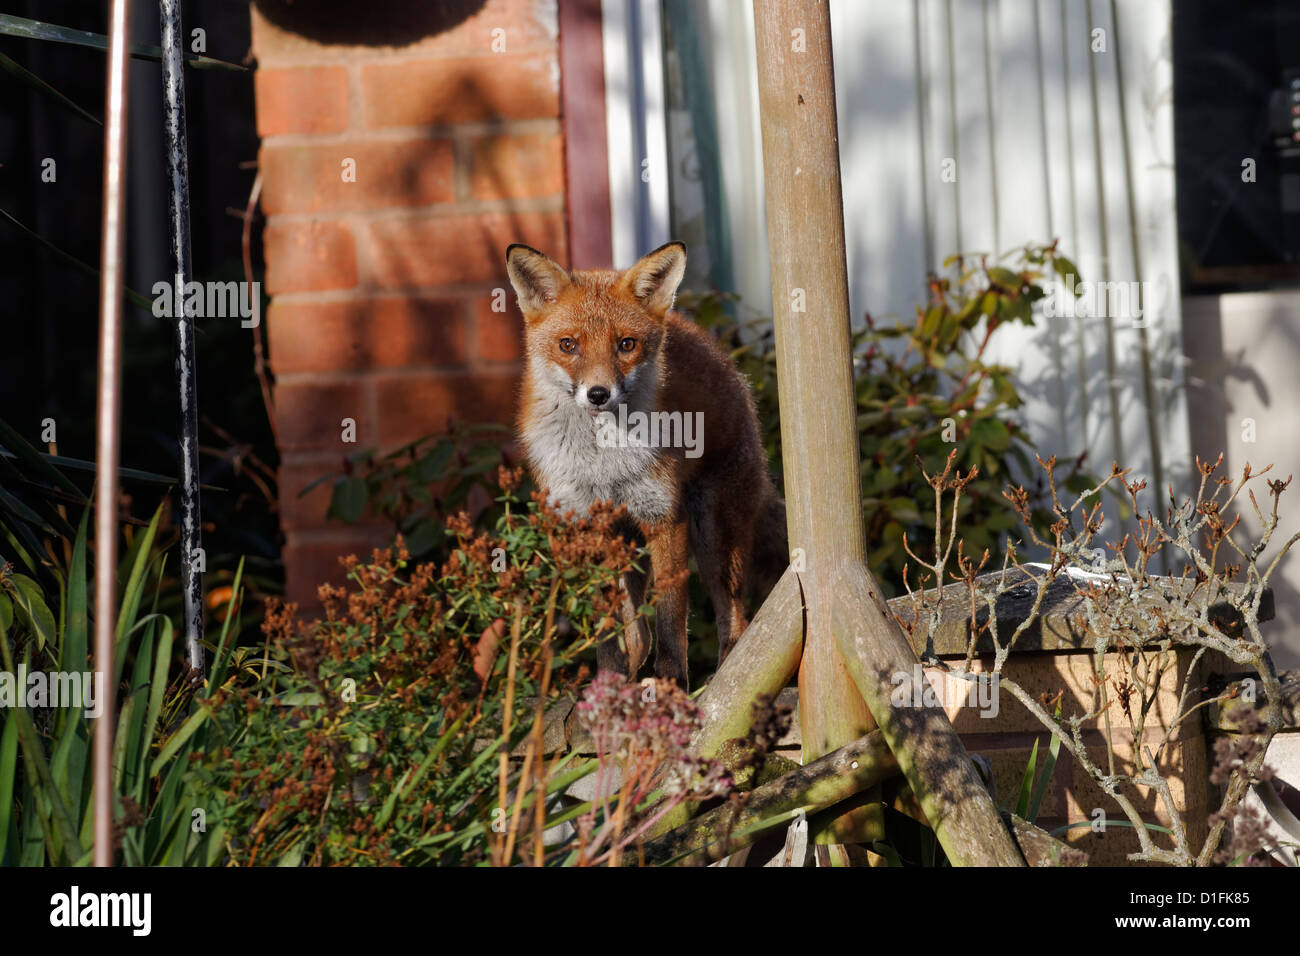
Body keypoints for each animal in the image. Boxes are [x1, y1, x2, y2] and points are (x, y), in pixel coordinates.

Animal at [506, 238, 785, 686]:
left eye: (626, 344)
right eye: (568, 345)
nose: (598, 393)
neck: (603, 464)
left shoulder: (664, 518)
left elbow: (671, 620)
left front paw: (670, 684)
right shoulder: (585, 526)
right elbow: (609, 631)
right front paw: (609, 682)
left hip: (712, 535)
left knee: (735, 619)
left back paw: (726, 679)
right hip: (627, 547)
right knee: (637, 635)